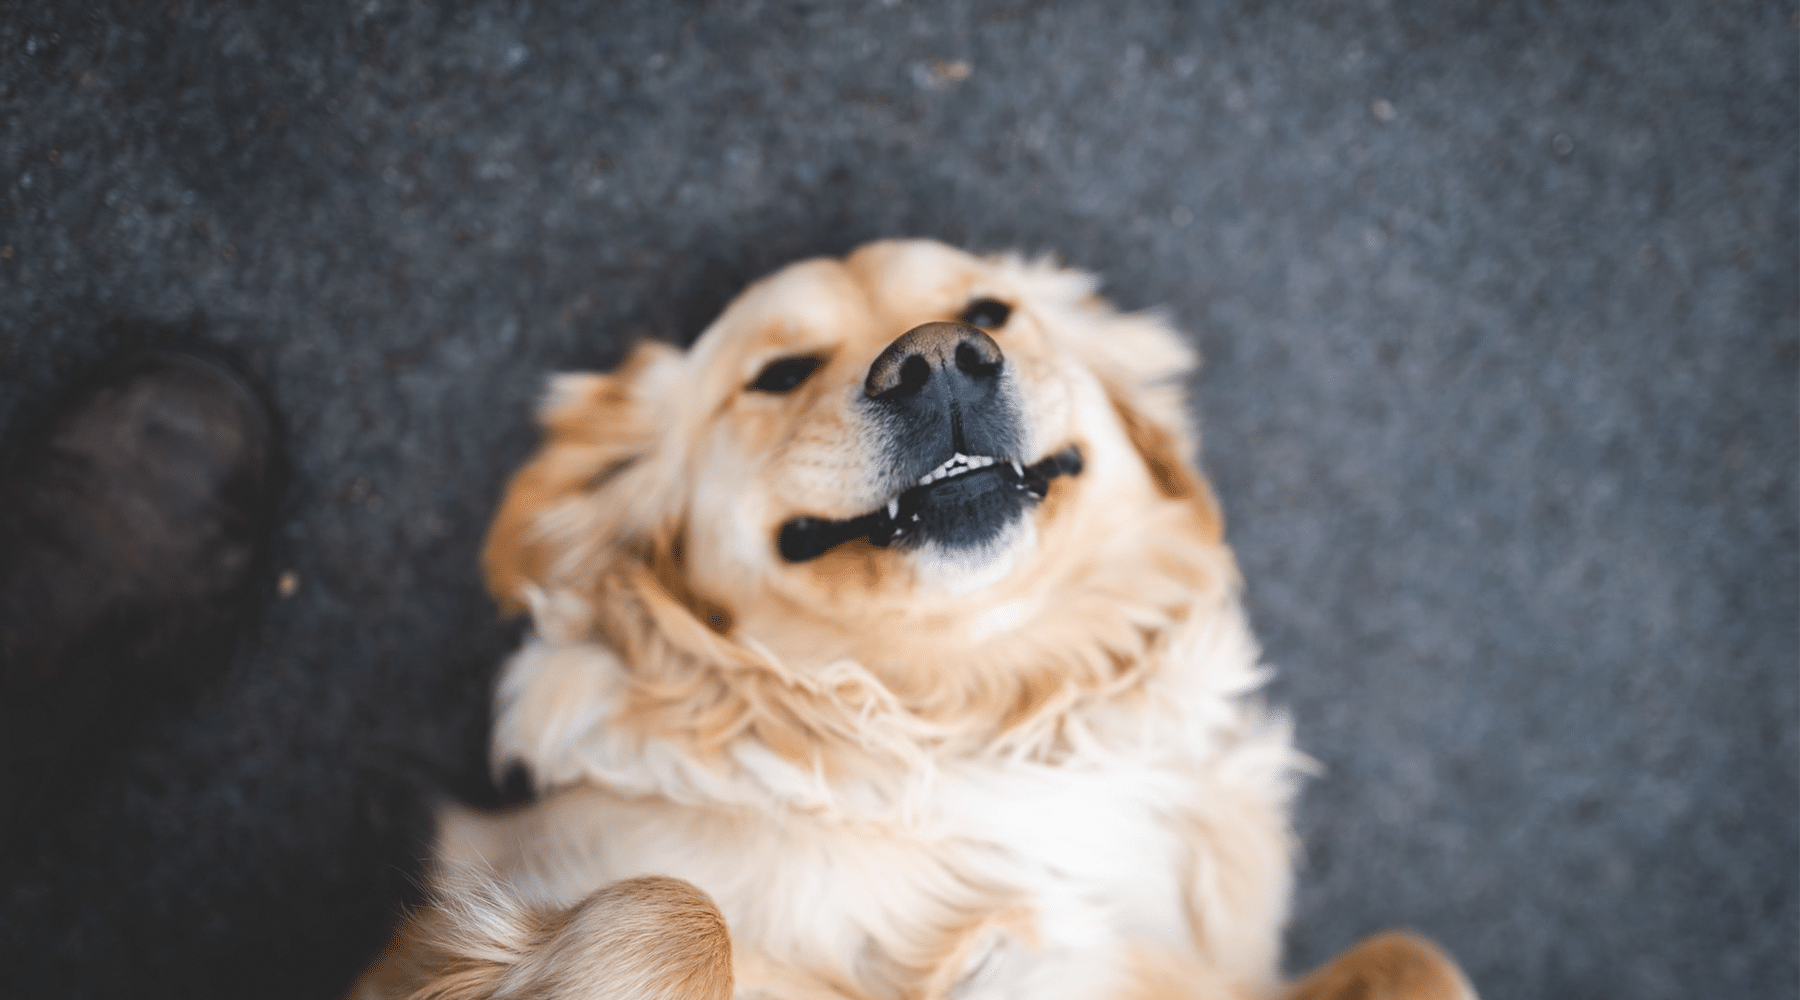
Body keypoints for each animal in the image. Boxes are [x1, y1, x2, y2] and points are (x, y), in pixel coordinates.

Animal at [354, 237, 1476, 992]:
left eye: (993, 308)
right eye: (777, 373)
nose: (937, 358)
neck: (968, 726)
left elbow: (1418, 952)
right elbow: (677, 907)